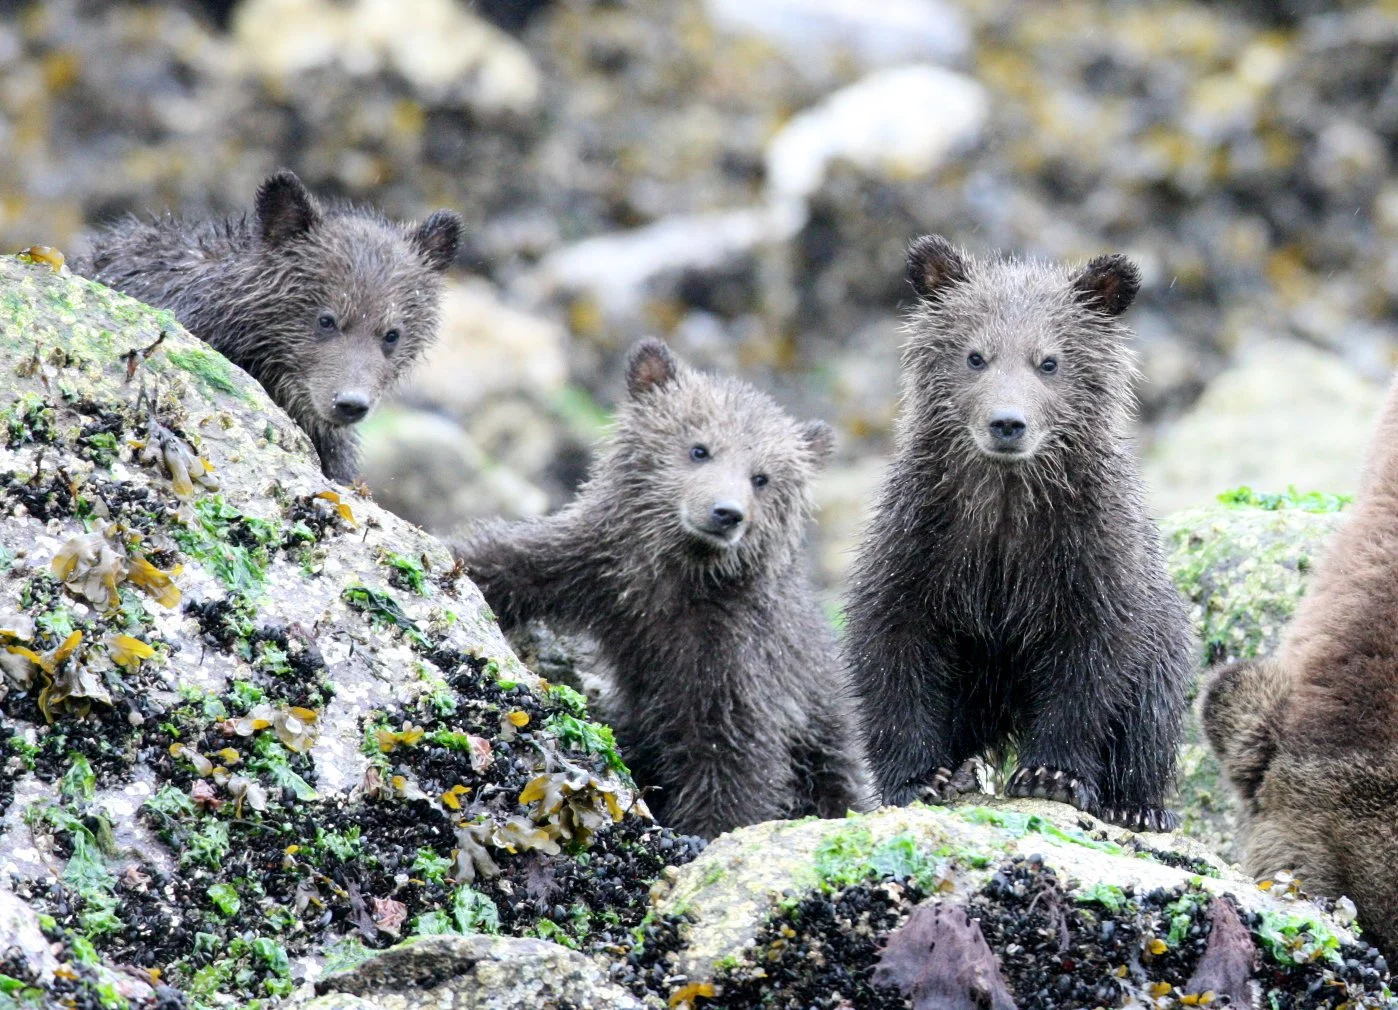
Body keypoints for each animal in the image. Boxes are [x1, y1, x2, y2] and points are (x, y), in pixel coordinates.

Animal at [452, 338, 876, 839]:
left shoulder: (740, 660)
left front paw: (704, 834)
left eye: (762, 477)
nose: (726, 512)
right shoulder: (593, 567)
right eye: (699, 449)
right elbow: (507, 562)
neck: (674, 582)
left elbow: (734, 761)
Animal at [843, 235, 1195, 833]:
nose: (1007, 422)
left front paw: (1052, 775)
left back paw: (1138, 804)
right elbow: (894, 649)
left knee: (1153, 710)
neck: (1006, 511)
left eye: (1048, 361)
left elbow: (1091, 666)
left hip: (1165, 635)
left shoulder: (1093, 558)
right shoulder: (919, 545)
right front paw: (921, 778)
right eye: (975, 355)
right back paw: (963, 771)